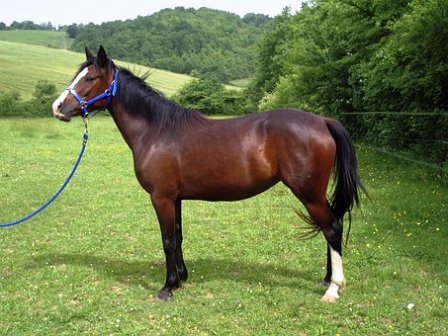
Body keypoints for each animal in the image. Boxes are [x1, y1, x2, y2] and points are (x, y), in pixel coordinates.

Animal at [51, 46, 364, 302]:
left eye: (89, 79)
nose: (58, 107)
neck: (157, 131)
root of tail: (322, 121)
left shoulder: (161, 197)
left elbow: (167, 240)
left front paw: (167, 287)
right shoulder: (175, 198)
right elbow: (178, 236)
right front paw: (181, 278)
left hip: (309, 193)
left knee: (332, 228)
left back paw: (333, 288)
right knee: (331, 226)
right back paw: (326, 279)